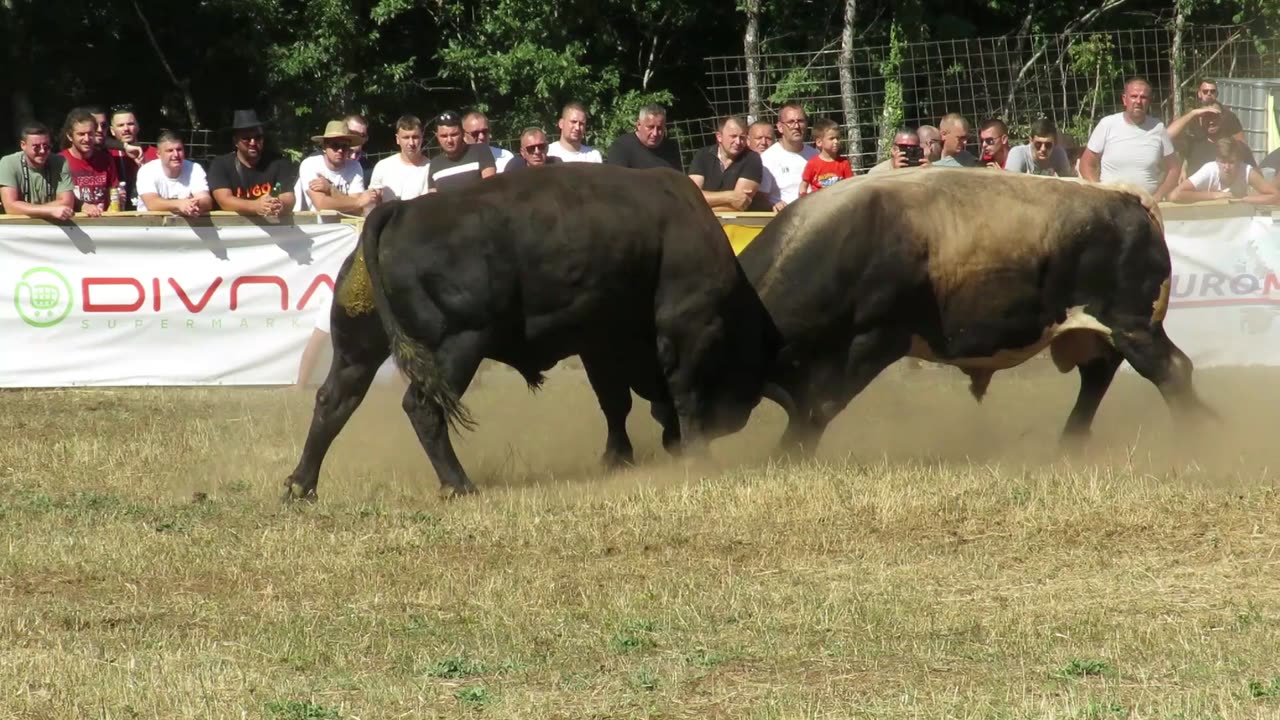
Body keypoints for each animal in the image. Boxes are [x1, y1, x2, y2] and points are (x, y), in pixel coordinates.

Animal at [284, 162, 778, 499]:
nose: (739, 417)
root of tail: (400, 210)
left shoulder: (599, 345)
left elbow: (615, 403)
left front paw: (617, 458)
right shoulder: (686, 329)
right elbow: (682, 393)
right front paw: (698, 457)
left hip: (358, 350)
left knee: (334, 400)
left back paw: (300, 487)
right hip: (459, 346)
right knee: (421, 408)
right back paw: (460, 485)